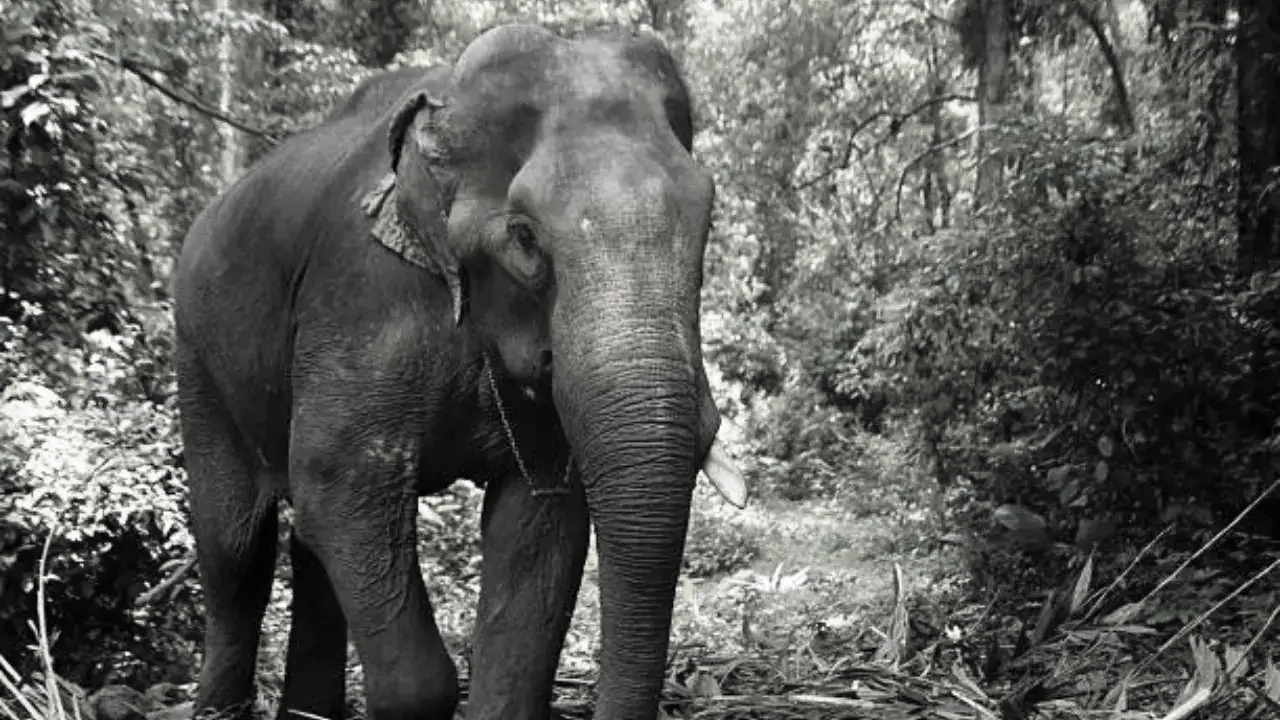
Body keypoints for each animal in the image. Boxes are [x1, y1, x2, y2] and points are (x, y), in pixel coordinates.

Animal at [171, 22, 748, 720]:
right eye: (524, 238)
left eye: (708, 220)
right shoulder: (363, 295)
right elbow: (338, 482)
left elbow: (537, 528)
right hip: (197, 353)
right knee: (236, 547)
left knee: (306, 546)